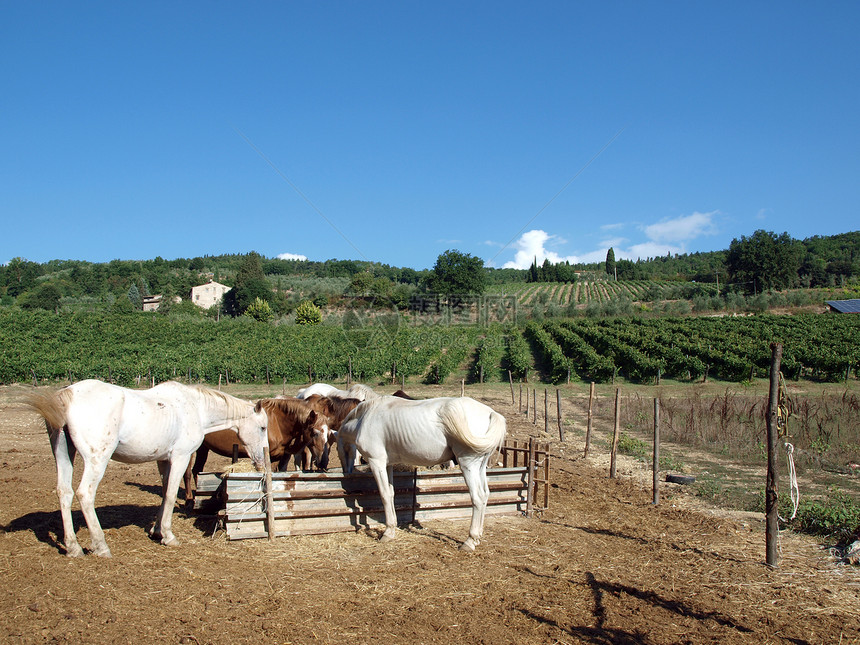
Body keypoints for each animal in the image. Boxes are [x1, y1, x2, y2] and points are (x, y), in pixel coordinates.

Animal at [26, 380, 268, 556]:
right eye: (263, 427)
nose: (261, 460)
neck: (196, 409)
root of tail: (67, 394)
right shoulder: (180, 458)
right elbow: (170, 495)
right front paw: (169, 536)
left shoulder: (163, 460)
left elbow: (164, 492)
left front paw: (156, 531)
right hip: (97, 460)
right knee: (85, 493)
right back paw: (100, 546)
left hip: (63, 453)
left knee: (64, 492)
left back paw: (73, 547)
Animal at [183, 394, 330, 506]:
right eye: (315, 432)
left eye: (328, 432)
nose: (323, 462)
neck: (277, 422)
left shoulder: (282, 456)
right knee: (188, 473)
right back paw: (189, 499)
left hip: (203, 449)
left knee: (197, 470)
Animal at [338, 394, 510, 552]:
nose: (346, 472)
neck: (365, 418)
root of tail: (490, 413)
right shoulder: (388, 465)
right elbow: (391, 494)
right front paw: (392, 528)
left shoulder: (377, 462)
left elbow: (384, 495)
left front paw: (387, 533)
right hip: (480, 466)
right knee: (485, 495)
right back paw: (477, 538)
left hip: (469, 464)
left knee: (478, 497)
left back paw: (469, 541)